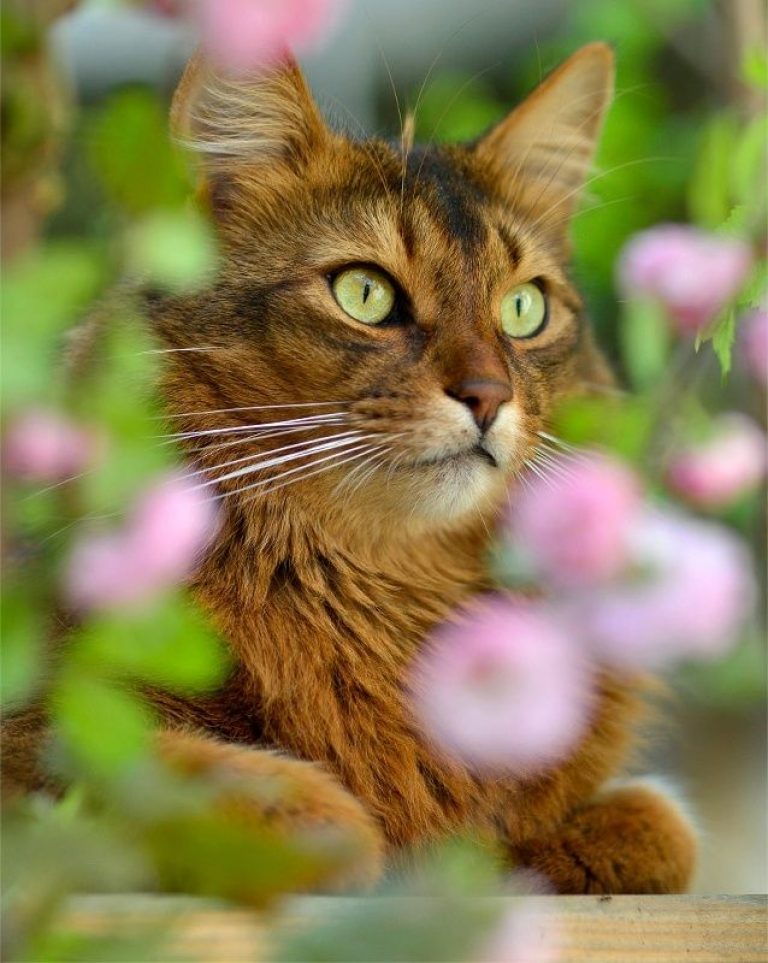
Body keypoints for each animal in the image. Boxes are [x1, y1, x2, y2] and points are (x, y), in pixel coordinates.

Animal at [1, 39, 696, 896]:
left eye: (524, 309)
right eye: (364, 293)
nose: (488, 396)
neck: (382, 588)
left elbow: (662, 825)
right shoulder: (38, 719)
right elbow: (148, 767)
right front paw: (334, 830)